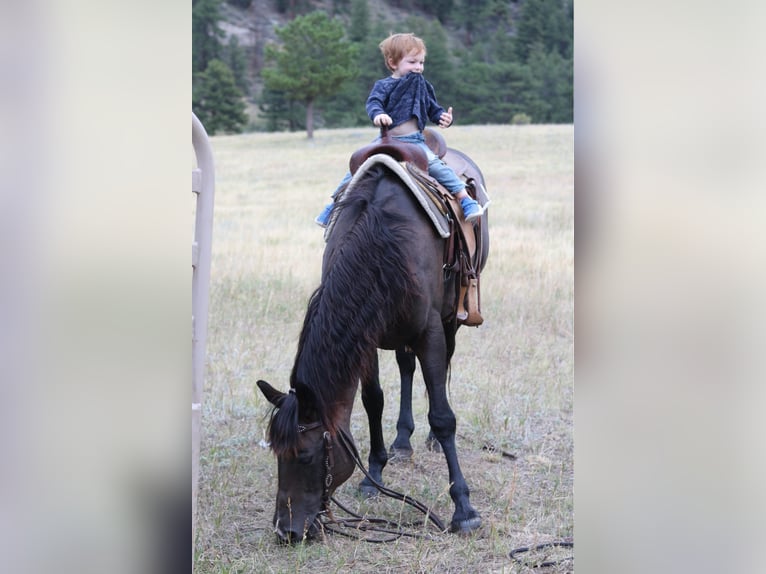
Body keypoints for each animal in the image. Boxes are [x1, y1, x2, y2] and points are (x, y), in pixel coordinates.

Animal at [257, 148, 488, 543]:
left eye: (305, 456)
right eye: (276, 454)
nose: (286, 531)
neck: (384, 241)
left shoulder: (429, 331)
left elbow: (442, 416)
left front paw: (464, 510)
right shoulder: (368, 336)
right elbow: (373, 401)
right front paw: (373, 476)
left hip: (450, 320)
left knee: (440, 372)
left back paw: (426, 440)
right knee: (406, 368)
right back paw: (402, 443)